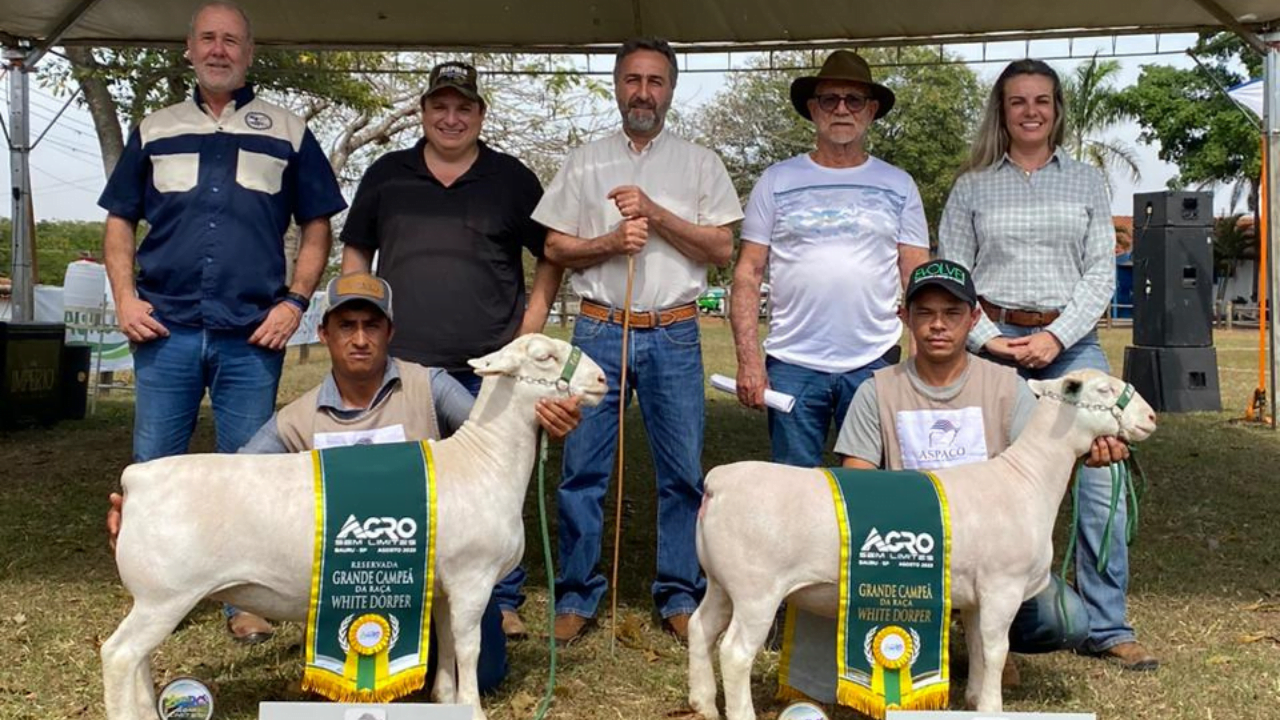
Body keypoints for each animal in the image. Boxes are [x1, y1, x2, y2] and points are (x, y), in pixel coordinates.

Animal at [97, 335, 606, 717]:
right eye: (544, 356)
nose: (602, 380)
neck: (484, 460)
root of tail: (136, 480)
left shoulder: (443, 586)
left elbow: (447, 648)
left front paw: (444, 699)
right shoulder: (472, 579)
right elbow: (469, 647)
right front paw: (473, 710)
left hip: (154, 599)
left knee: (137, 658)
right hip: (166, 595)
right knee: (119, 655)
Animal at [691, 368, 1162, 717]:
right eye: (1104, 389)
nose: (1151, 418)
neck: (1026, 479)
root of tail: (720, 482)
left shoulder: (977, 595)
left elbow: (979, 647)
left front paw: (972, 698)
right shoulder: (1002, 587)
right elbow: (996, 649)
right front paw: (992, 707)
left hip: (722, 581)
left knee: (701, 627)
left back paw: (703, 704)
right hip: (756, 590)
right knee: (734, 652)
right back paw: (738, 712)